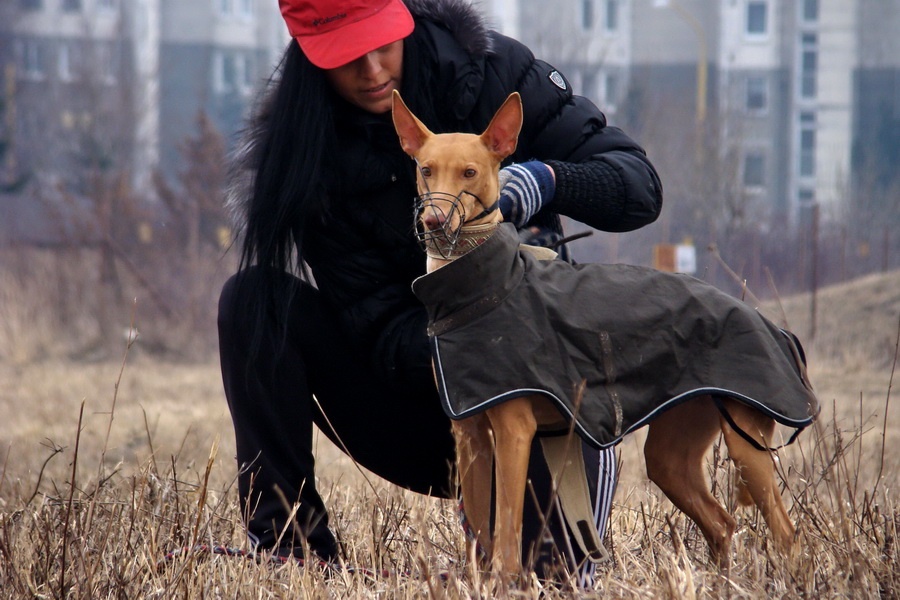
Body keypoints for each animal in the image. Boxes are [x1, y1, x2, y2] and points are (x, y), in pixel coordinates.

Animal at [390, 90, 800, 576]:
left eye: (469, 172)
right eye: (425, 169)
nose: (434, 221)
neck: (484, 286)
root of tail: (768, 323)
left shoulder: (515, 431)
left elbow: (507, 537)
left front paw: (506, 580)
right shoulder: (471, 435)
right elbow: (481, 539)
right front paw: (478, 581)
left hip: (746, 445)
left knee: (787, 534)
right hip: (671, 456)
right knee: (721, 523)